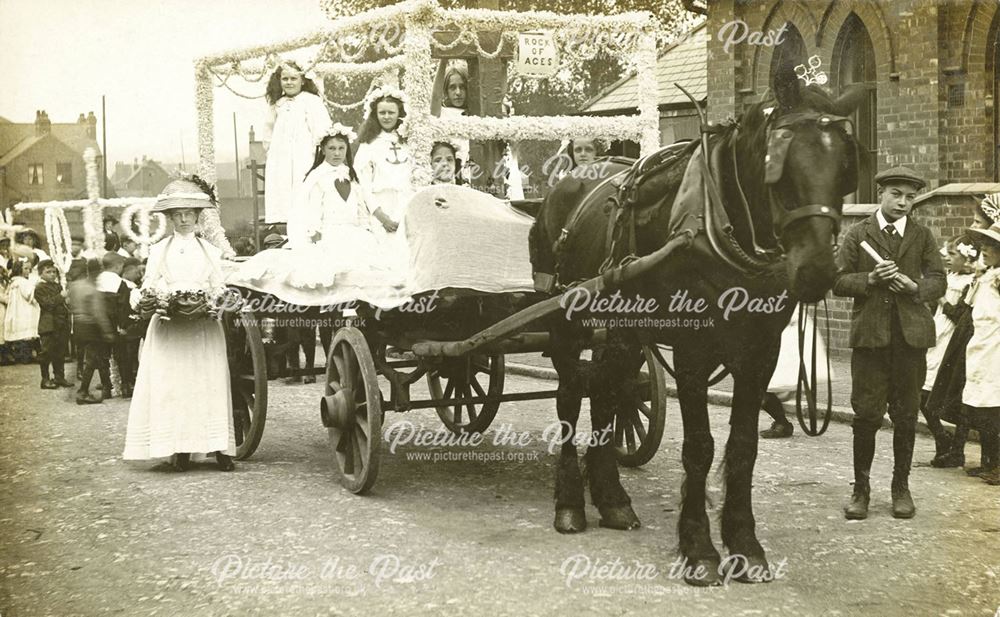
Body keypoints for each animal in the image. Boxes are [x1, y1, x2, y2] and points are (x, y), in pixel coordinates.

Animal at [532, 66, 868, 584]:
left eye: (845, 166)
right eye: (779, 165)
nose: (815, 272)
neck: (720, 223)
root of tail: (566, 182)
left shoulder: (761, 351)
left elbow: (744, 447)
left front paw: (745, 545)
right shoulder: (693, 349)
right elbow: (700, 447)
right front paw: (699, 548)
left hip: (623, 333)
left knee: (608, 391)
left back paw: (611, 499)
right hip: (568, 323)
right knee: (571, 396)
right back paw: (570, 502)